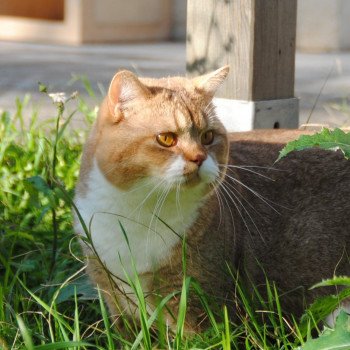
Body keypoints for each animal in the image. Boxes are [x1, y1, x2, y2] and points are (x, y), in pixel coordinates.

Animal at [72, 65, 348, 330]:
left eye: (207, 137)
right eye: (166, 138)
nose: (199, 157)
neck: (139, 211)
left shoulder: (199, 303)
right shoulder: (114, 296)